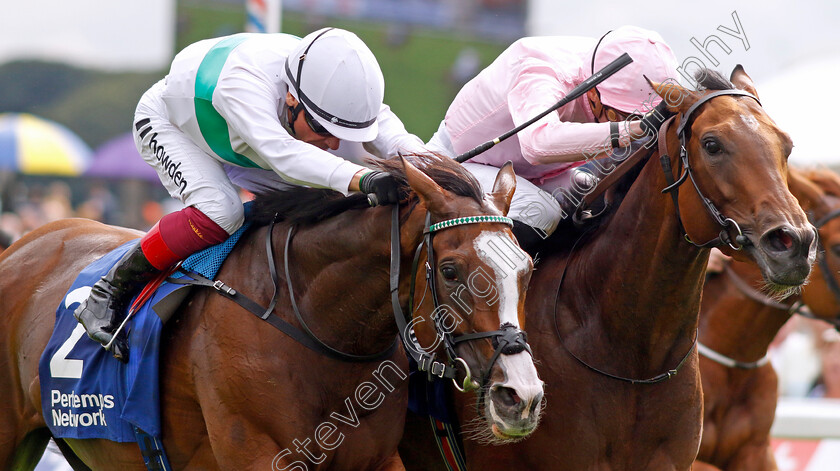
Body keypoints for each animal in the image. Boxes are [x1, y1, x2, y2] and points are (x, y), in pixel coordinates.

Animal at [0, 156, 544, 471]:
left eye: (527, 267)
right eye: (450, 270)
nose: (521, 396)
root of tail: (24, 244)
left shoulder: (376, 461)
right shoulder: (263, 456)